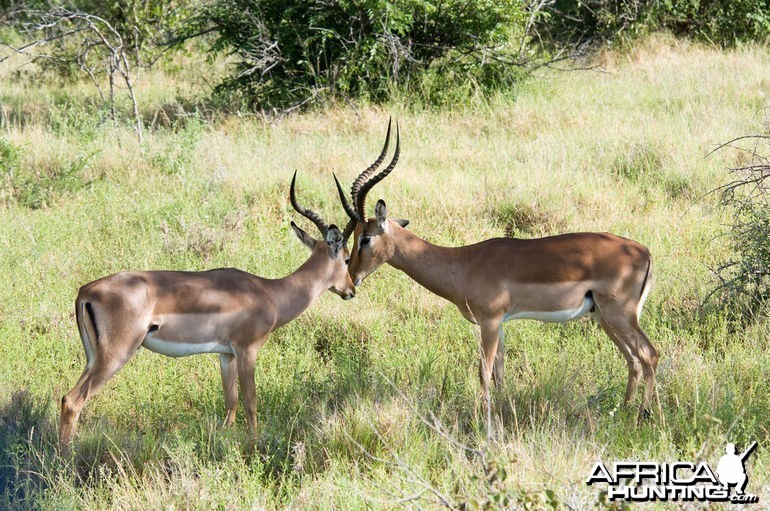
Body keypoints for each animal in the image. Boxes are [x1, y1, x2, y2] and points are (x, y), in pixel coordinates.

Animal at [60, 175, 354, 452]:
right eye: (347, 258)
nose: (351, 290)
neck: (269, 292)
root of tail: (86, 291)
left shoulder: (226, 355)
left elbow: (230, 401)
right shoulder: (247, 350)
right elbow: (251, 400)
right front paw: (255, 444)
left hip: (92, 358)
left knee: (65, 398)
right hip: (116, 356)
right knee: (73, 401)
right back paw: (66, 457)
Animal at [332, 121, 656, 428]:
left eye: (365, 238)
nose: (352, 278)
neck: (464, 263)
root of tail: (644, 252)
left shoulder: (488, 321)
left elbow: (483, 371)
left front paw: (484, 421)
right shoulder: (500, 324)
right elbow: (499, 372)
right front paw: (501, 412)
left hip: (619, 315)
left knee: (649, 355)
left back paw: (644, 415)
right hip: (604, 317)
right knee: (633, 360)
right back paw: (622, 411)